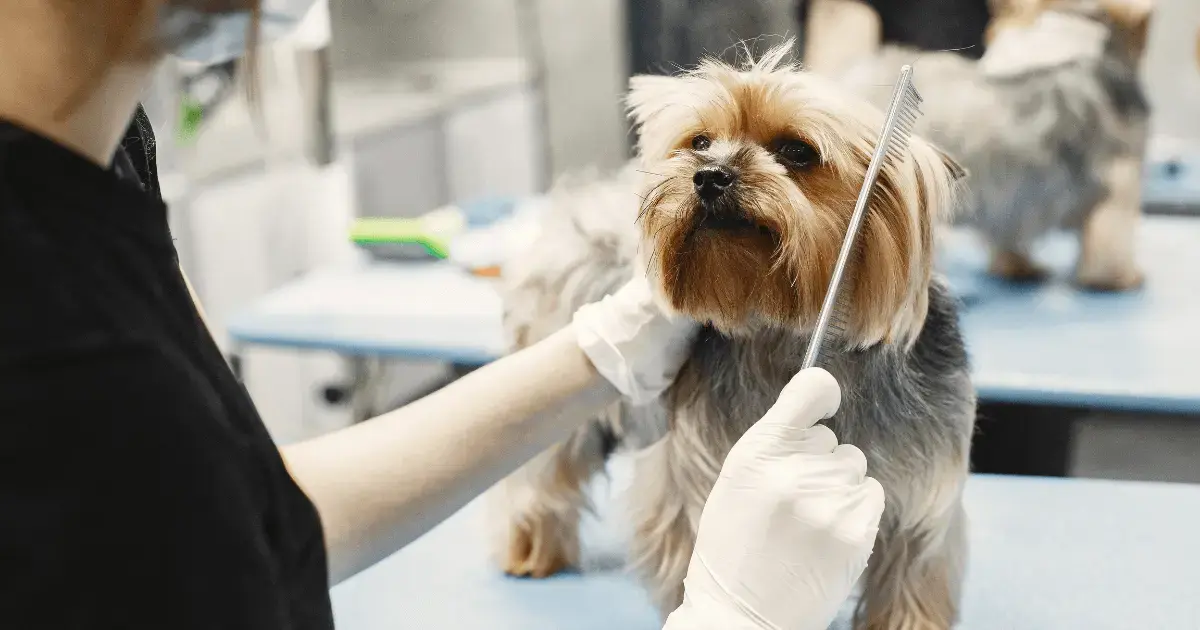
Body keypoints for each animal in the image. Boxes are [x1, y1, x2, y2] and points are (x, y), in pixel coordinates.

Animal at [494, 41, 974, 624]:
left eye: (797, 152)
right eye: (700, 141)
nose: (709, 174)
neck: (784, 332)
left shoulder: (923, 493)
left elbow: (913, 579)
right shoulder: (701, 473)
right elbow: (699, 542)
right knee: (540, 472)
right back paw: (531, 549)